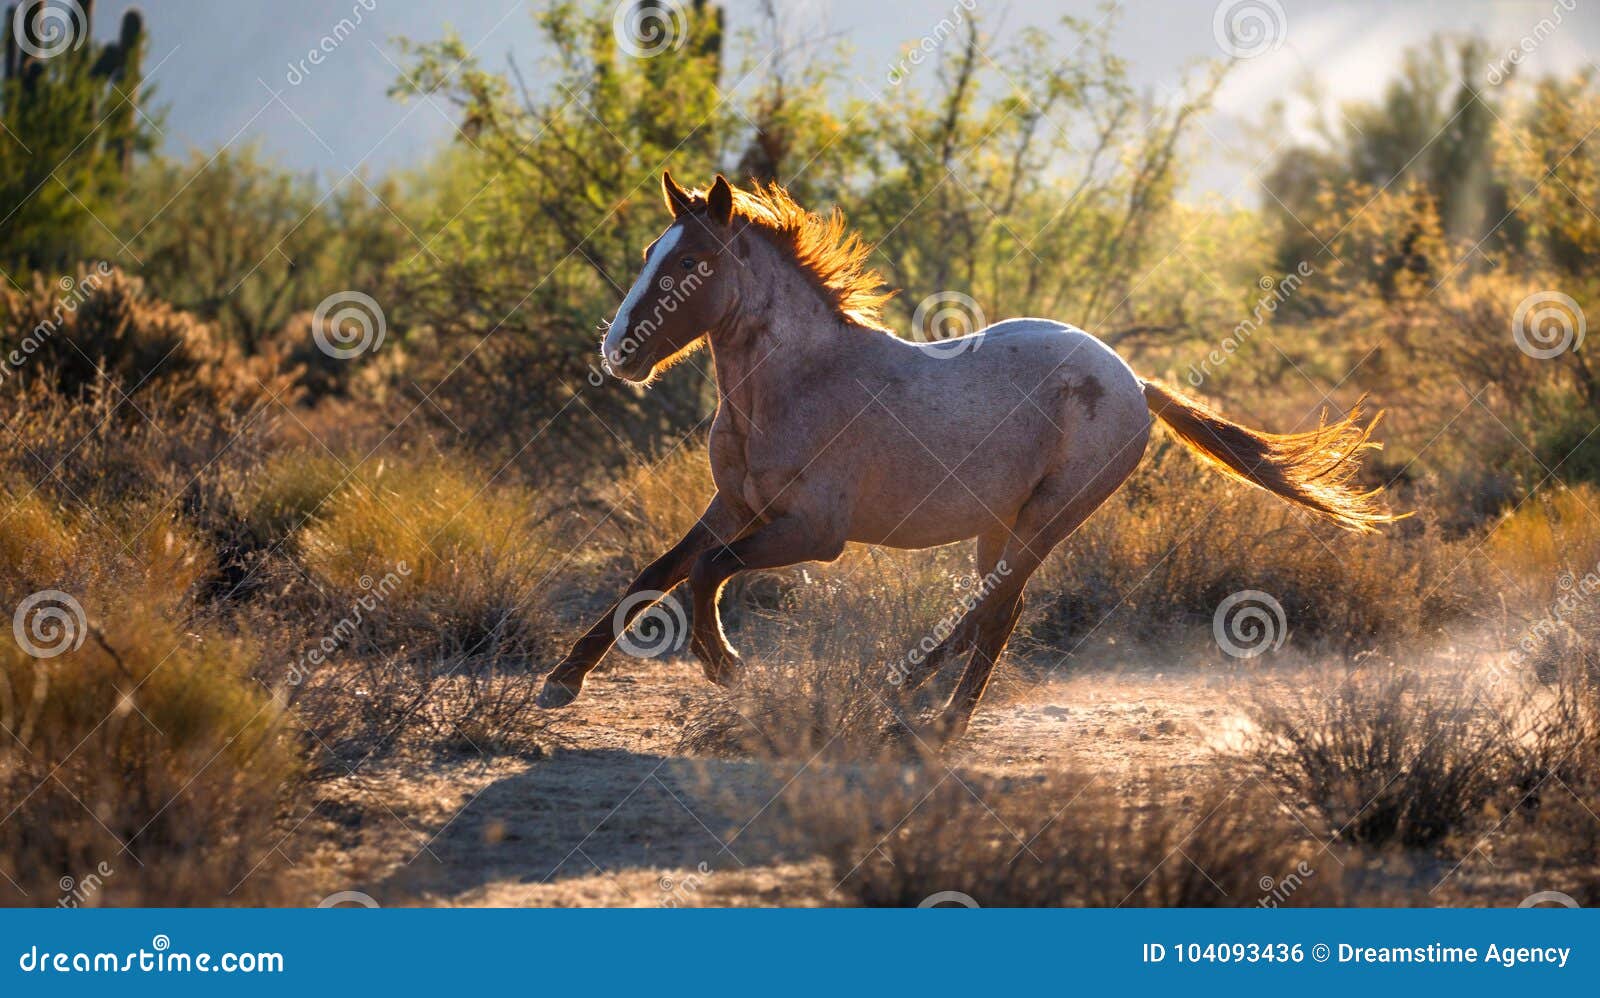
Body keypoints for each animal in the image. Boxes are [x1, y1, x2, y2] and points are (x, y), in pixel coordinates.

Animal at [534, 171, 1388, 735]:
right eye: (653, 249)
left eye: (690, 264)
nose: (618, 353)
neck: (795, 383)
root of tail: (1135, 383)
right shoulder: (735, 504)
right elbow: (654, 573)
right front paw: (561, 682)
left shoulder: (813, 532)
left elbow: (705, 573)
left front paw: (725, 665)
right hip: (999, 523)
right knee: (992, 610)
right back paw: (923, 703)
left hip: (1048, 519)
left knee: (996, 608)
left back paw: (921, 704)